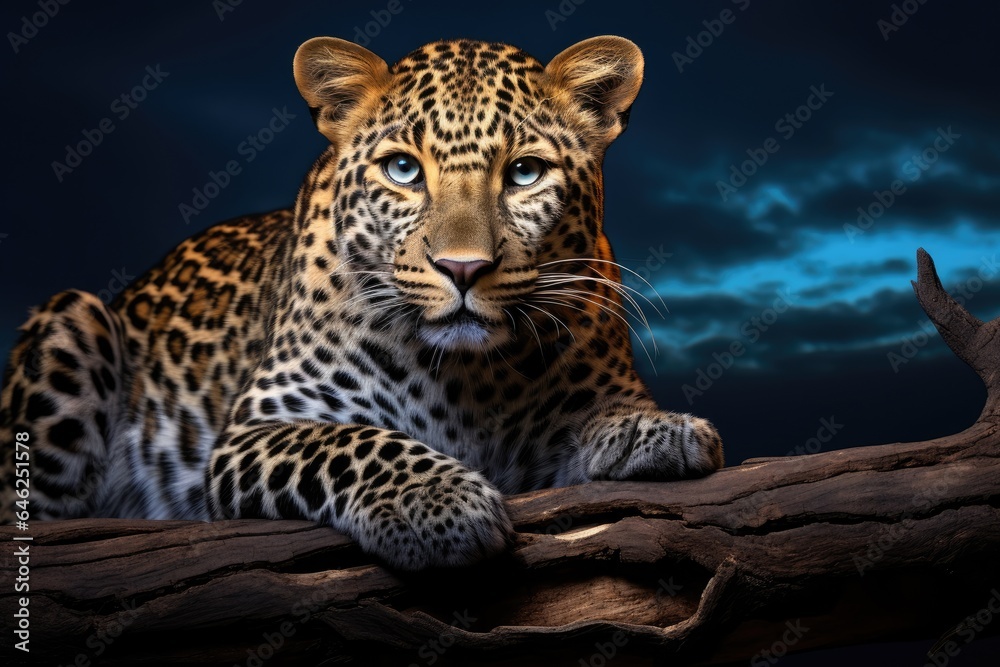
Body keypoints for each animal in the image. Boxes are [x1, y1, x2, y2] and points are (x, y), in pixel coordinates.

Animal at [0, 35, 724, 570]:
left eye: (524, 173)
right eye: (403, 170)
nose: (463, 268)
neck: (475, 377)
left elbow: (598, 418)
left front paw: (657, 431)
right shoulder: (256, 427)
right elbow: (350, 440)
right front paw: (436, 500)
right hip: (74, 317)